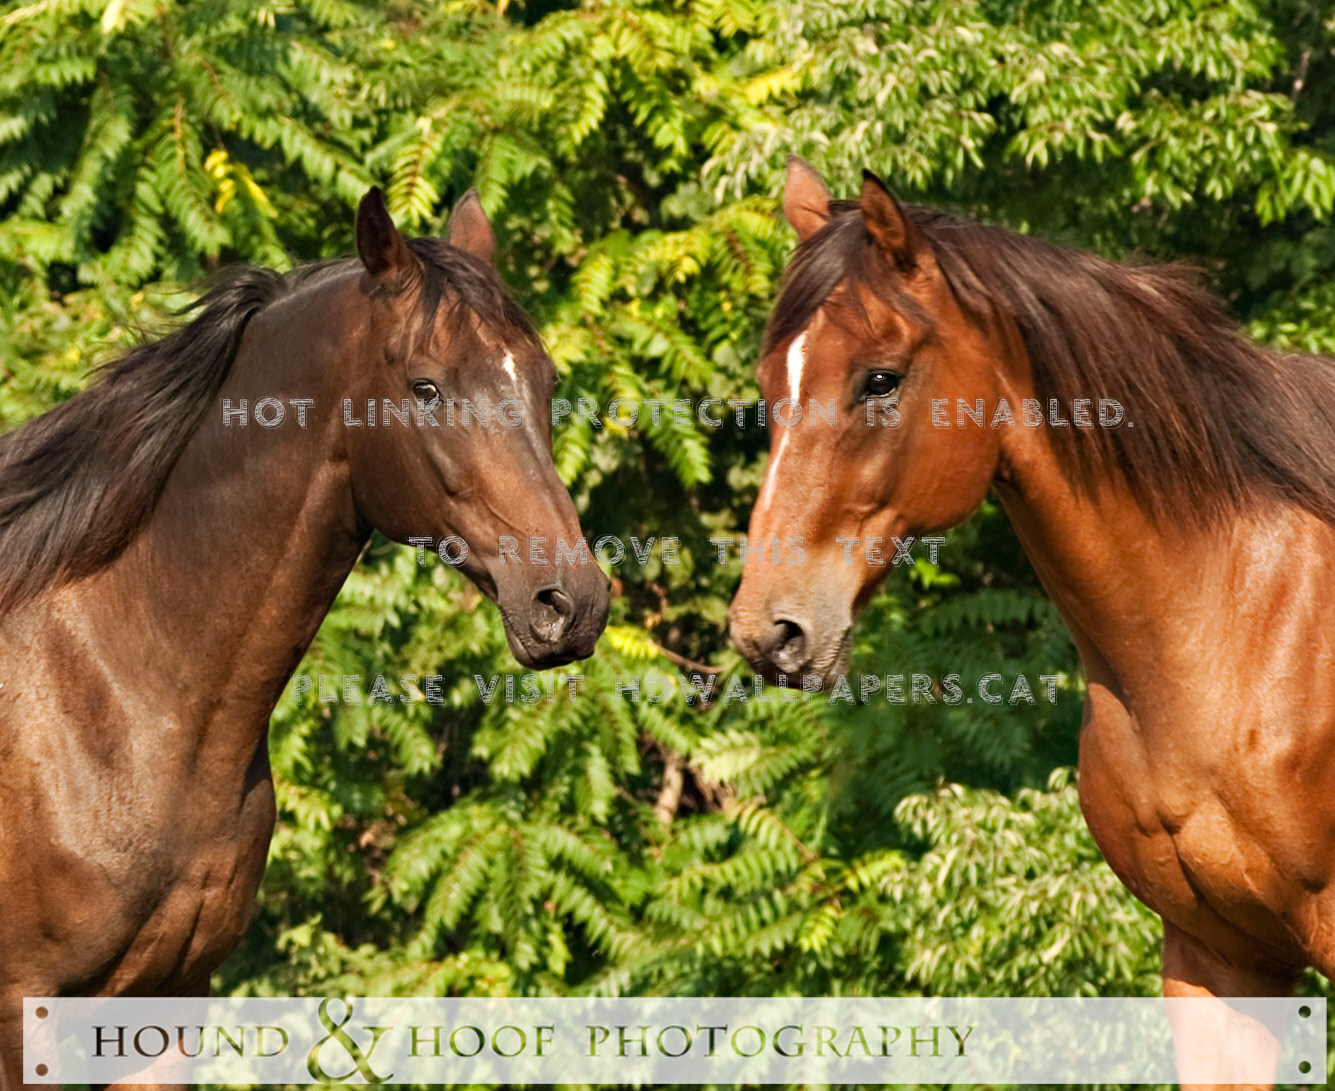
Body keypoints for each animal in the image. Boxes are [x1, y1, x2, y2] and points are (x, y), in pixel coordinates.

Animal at [0, 187, 608, 1087]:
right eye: (425, 387)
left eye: (544, 381)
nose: (572, 601)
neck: (108, 700)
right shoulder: (22, 1013)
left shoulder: (165, 1010)